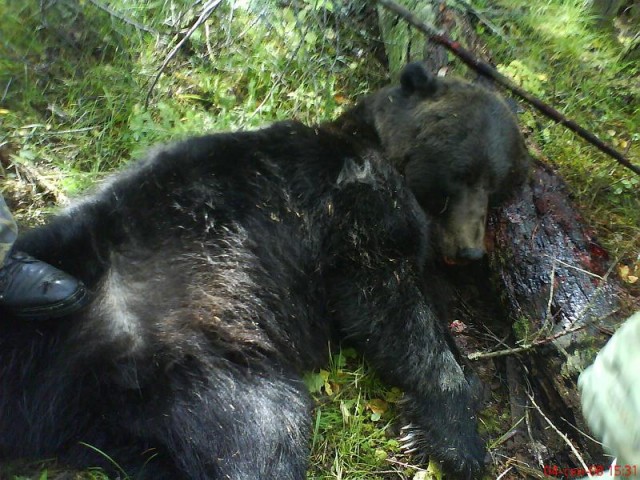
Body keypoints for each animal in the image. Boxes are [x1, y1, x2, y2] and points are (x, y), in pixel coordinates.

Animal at [0, 64, 528, 480]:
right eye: (463, 174)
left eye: (498, 183)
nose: (470, 251)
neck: (380, 148)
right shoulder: (357, 209)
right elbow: (389, 306)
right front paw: (457, 437)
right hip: (93, 259)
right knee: (268, 436)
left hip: (186, 381)